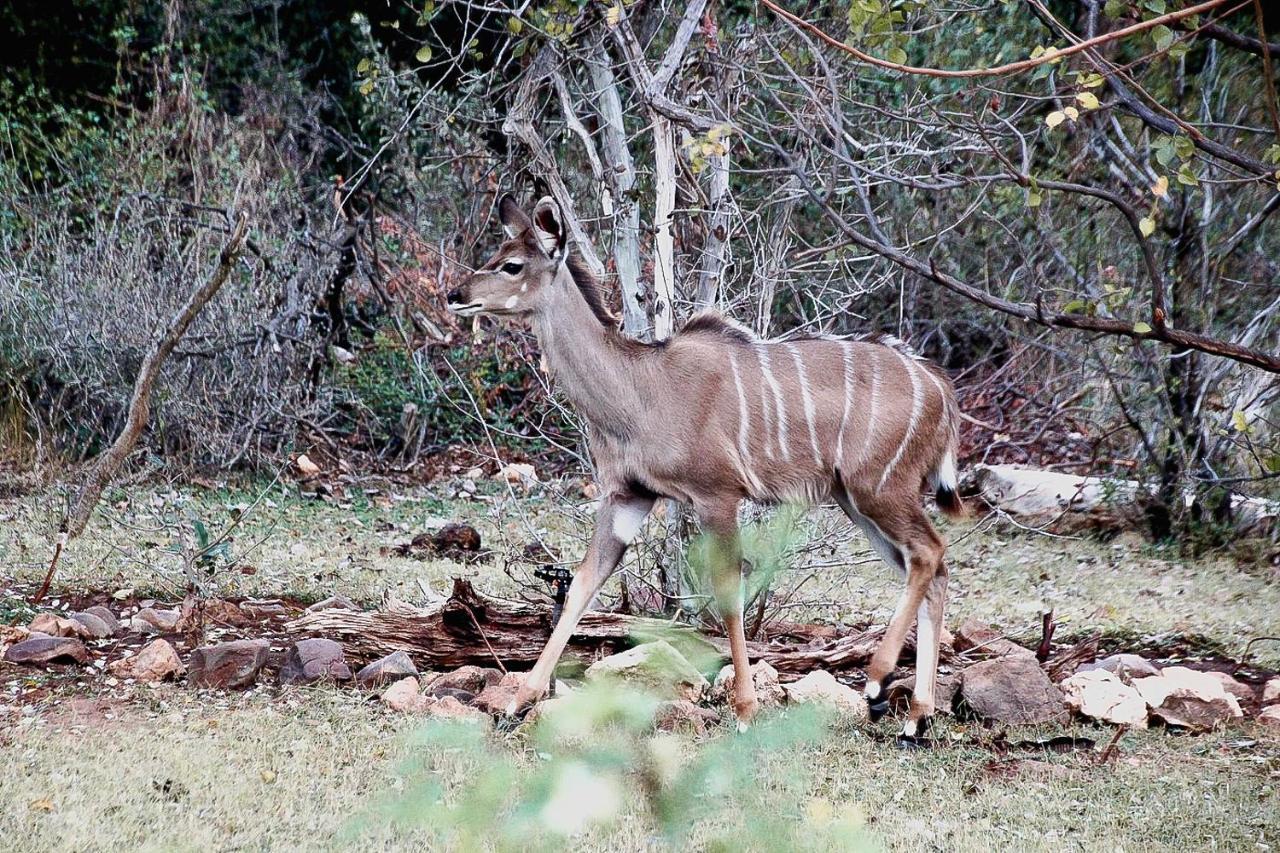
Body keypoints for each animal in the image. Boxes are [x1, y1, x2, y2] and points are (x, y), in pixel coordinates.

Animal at [448, 195, 962, 742]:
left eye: (511, 264)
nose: (457, 295)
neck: (640, 390)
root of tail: (940, 387)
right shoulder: (629, 496)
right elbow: (584, 584)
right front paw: (516, 702)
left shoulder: (717, 495)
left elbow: (729, 594)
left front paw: (746, 709)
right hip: (857, 501)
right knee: (931, 566)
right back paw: (915, 719)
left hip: (880, 490)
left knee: (930, 552)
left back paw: (878, 684)